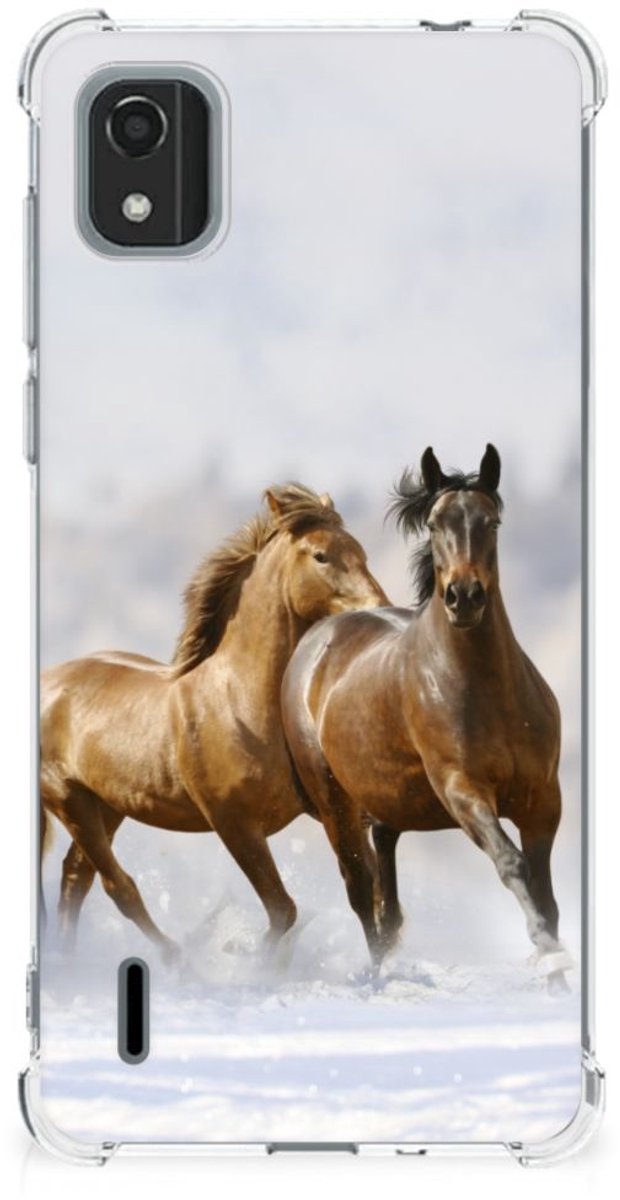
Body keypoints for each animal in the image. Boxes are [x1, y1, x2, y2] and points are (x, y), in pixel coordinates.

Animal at [41, 484, 388, 961]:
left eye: (361, 551)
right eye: (321, 555)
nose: (380, 609)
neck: (240, 703)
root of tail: (45, 683)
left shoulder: (331, 808)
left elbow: (363, 887)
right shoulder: (234, 823)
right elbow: (283, 910)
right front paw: (250, 960)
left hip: (107, 805)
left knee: (77, 877)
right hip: (69, 800)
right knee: (118, 887)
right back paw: (178, 958)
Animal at [281, 446, 569, 990]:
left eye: (491, 521)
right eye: (435, 524)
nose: (464, 596)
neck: (488, 692)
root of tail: (316, 639)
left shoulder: (542, 799)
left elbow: (546, 892)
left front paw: (558, 975)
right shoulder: (462, 790)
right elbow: (512, 864)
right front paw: (548, 957)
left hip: (387, 803)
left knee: (385, 888)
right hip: (335, 805)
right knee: (361, 891)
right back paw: (378, 977)